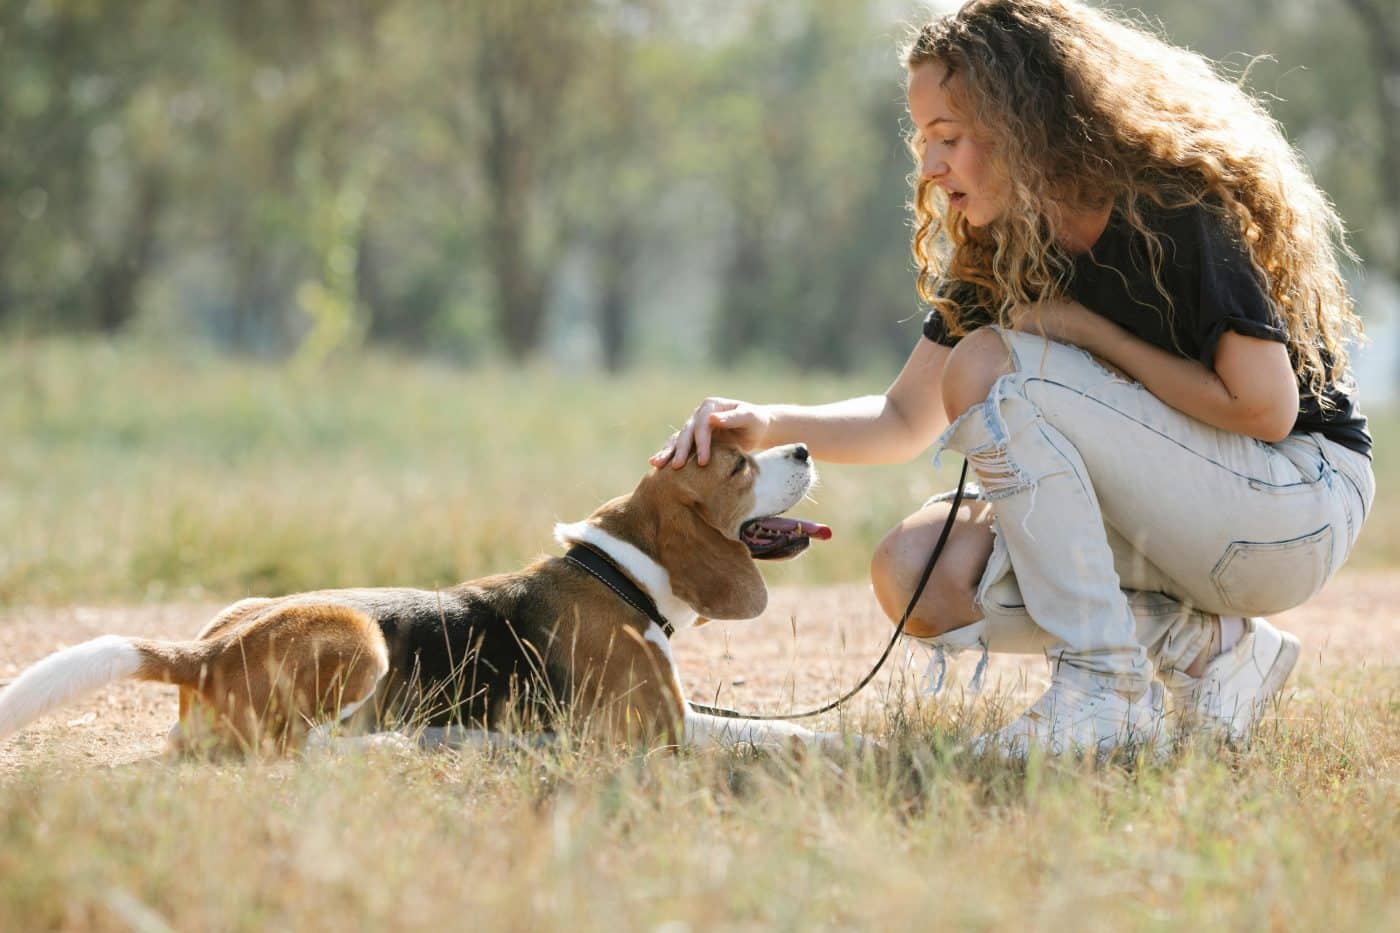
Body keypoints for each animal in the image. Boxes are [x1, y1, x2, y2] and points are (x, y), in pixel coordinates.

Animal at [0, 431, 840, 750]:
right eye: (738, 466)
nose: (803, 445)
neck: (623, 572)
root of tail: (204, 652)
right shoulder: (658, 728)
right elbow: (783, 733)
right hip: (357, 637)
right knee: (301, 746)